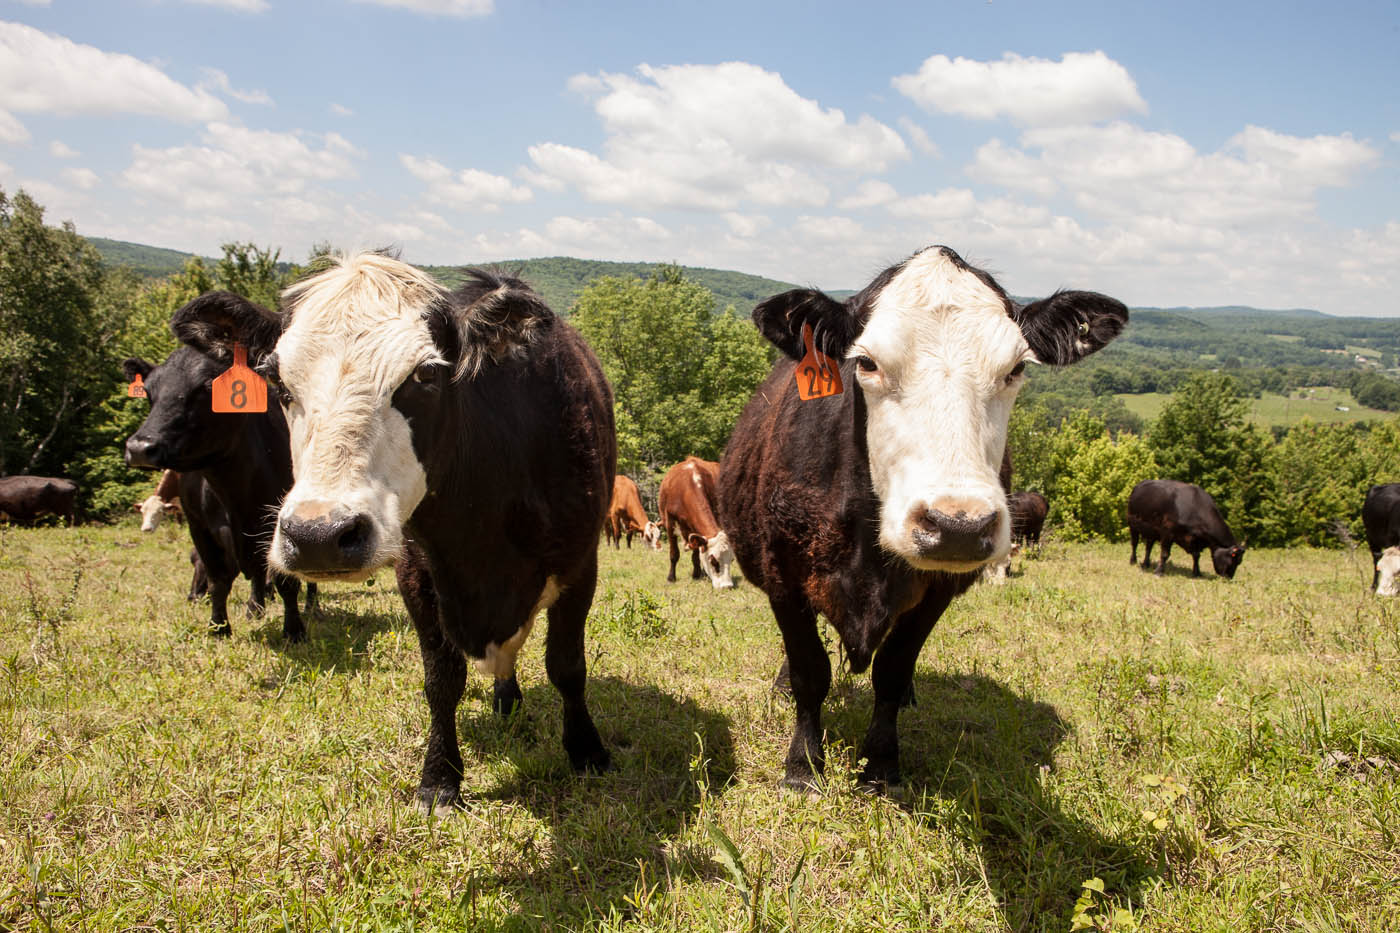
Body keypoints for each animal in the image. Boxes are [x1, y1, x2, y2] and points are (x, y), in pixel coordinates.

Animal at [122, 291, 312, 638]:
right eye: (149, 393)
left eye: (208, 387)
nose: (140, 448)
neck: (235, 490)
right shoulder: (200, 528)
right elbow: (218, 580)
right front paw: (218, 626)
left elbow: (286, 580)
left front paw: (294, 630)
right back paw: (253, 608)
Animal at [186, 252, 618, 806]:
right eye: (278, 384)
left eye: (426, 375)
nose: (318, 536)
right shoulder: (416, 575)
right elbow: (442, 680)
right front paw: (440, 777)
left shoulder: (580, 566)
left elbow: (566, 666)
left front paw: (587, 751)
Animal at [660, 453, 739, 585]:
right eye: (713, 561)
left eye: (732, 560)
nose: (727, 586)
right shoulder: (670, 523)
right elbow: (674, 554)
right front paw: (671, 578)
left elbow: (696, 556)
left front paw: (696, 575)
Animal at [716, 243, 1131, 790]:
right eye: (866, 362)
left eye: (1016, 369)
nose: (958, 526)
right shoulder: (782, 573)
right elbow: (810, 671)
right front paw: (803, 764)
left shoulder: (939, 589)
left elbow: (892, 670)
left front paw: (881, 763)